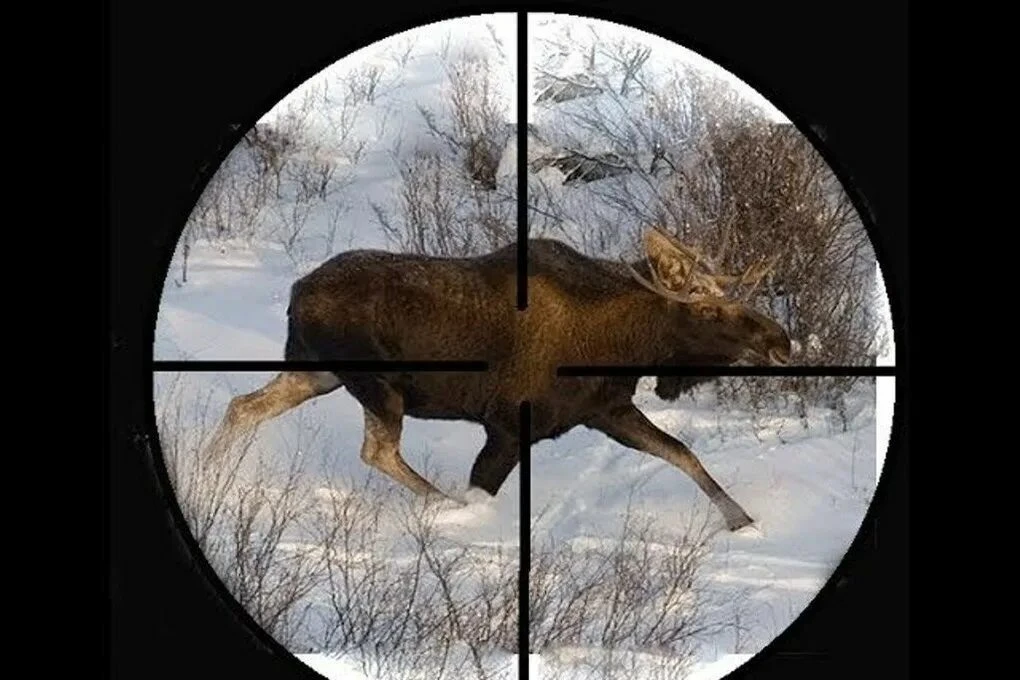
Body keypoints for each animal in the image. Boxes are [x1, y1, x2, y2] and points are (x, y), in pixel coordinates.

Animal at [202, 226, 791, 531]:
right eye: (708, 311)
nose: (780, 341)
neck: (628, 343)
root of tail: (297, 292)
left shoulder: (605, 410)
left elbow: (682, 453)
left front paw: (742, 521)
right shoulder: (509, 426)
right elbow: (480, 489)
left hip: (315, 372)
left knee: (244, 406)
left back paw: (209, 473)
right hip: (375, 384)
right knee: (378, 450)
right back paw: (440, 502)